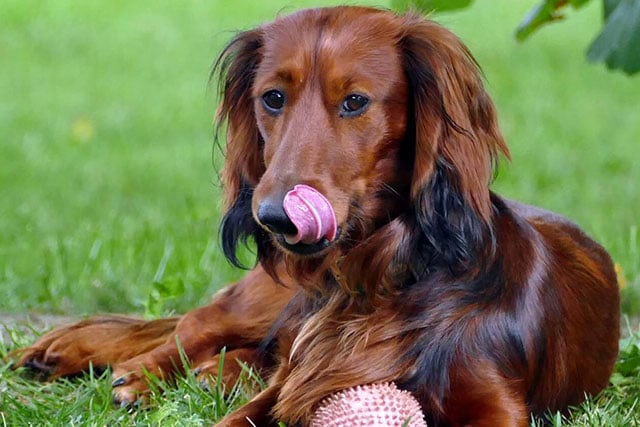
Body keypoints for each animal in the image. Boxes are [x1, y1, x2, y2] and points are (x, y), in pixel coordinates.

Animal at [17, 7, 624, 427]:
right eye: (272, 98)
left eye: (355, 101)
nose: (273, 219)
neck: (374, 283)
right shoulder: (288, 386)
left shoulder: (495, 402)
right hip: (265, 296)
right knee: (191, 327)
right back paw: (128, 374)